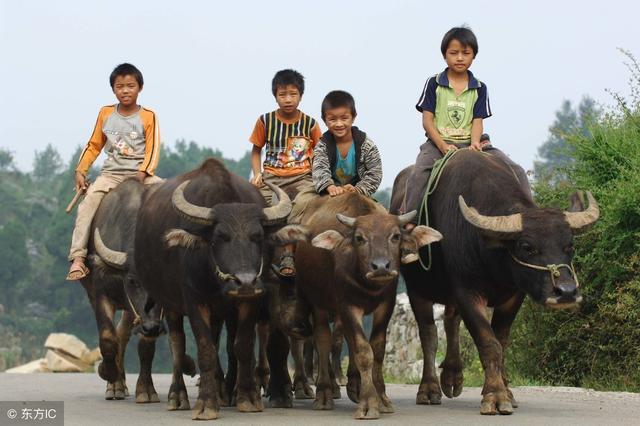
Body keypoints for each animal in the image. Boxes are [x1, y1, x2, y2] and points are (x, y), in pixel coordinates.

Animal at [132, 157, 302, 420]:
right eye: (219, 237)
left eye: (258, 237)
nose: (245, 281)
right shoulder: (194, 301)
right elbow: (206, 349)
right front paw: (206, 404)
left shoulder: (248, 301)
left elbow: (241, 346)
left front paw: (247, 398)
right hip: (169, 303)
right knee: (177, 343)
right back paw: (177, 396)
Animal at [288, 194, 442, 420]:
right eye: (360, 238)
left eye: (395, 236)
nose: (381, 267)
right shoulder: (348, 306)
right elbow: (363, 351)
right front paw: (369, 403)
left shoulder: (385, 305)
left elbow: (376, 350)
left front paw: (381, 398)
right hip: (318, 304)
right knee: (322, 342)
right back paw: (324, 394)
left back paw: (353, 386)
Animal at [390, 148, 600, 414]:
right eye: (526, 246)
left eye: (569, 245)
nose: (566, 292)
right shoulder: (468, 292)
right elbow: (489, 343)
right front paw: (496, 396)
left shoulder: (513, 295)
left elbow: (502, 342)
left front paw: (507, 392)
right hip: (418, 288)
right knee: (429, 335)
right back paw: (429, 389)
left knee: (450, 320)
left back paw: (452, 376)